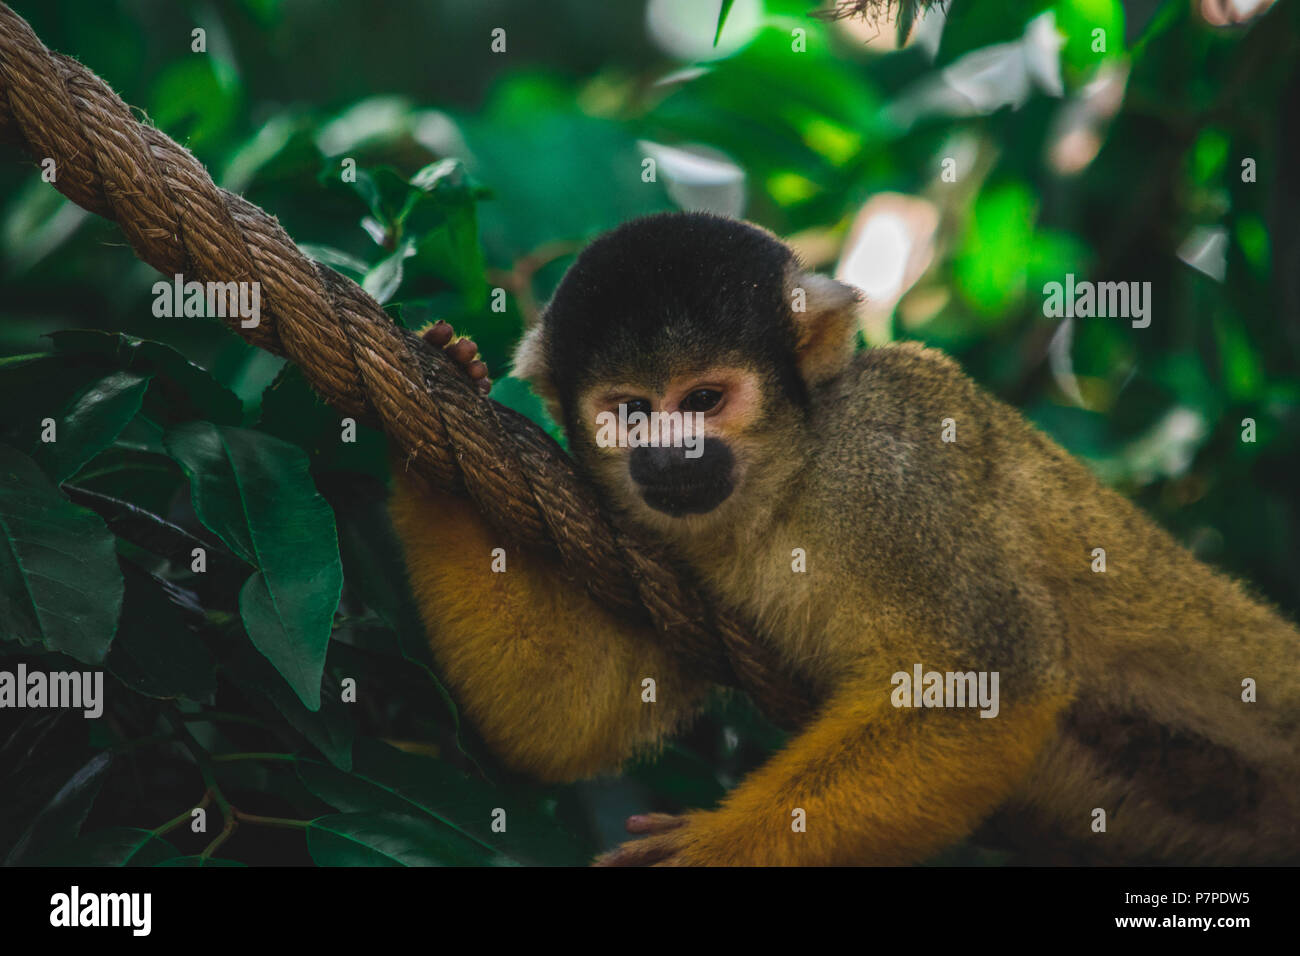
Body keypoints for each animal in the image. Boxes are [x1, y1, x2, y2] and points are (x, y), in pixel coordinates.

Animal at [389, 211, 1300, 866]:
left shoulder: (890, 473)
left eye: (705, 398)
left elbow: (982, 681)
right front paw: (439, 399)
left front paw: (708, 851)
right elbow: (559, 718)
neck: (783, 493)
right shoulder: (658, 549)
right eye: (635, 411)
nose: (672, 452)